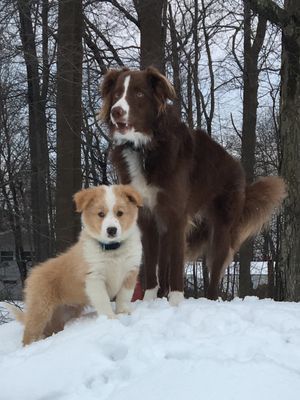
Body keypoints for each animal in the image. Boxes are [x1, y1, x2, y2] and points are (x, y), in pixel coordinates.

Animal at [7, 184, 142, 344]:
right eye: (101, 214)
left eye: (120, 213)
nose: (111, 230)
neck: (112, 249)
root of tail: (34, 272)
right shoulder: (94, 278)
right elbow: (103, 301)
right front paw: (111, 319)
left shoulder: (130, 273)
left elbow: (124, 297)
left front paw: (123, 314)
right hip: (40, 307)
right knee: (29, 334)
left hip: (63, 313)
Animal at [100, 68, 286, 306]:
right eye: (116, 94)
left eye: (139, 93)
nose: (116, 111)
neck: (145, 147)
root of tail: (237, 166)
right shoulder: (148, 217)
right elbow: (151, 264)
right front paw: (150, 300)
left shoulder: (177, 215)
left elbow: (177, 265)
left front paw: (176, 302)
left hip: (221, 229)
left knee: (214, 274)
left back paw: (210, 299)